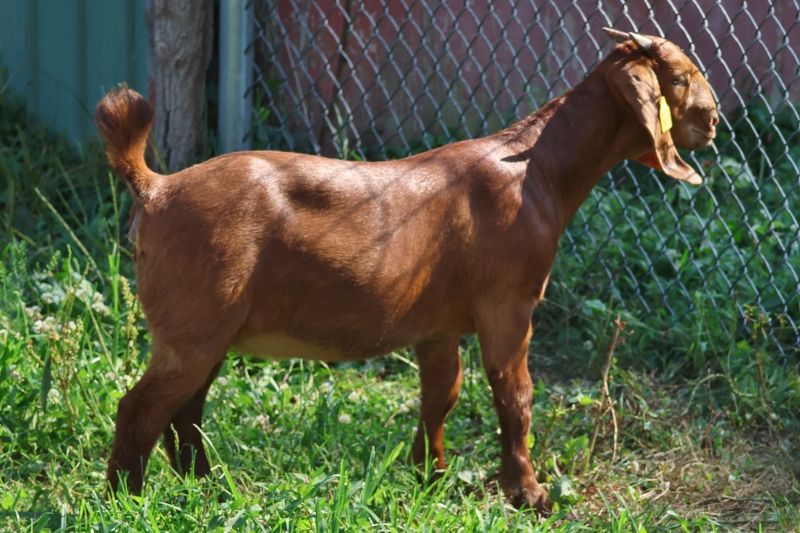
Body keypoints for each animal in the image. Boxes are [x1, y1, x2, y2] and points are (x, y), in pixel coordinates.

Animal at [95, 28, 717, 512]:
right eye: (680, 77)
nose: (712, 121)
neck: (536, 166)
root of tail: (156, 187)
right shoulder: (508, 305)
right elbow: (514, 395)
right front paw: (529, 494)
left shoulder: (437, 326)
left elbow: (440, 394)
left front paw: (429, 477)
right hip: (193, 323)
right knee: (141, 408)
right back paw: (128, 499)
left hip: (208, 329)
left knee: (186, 408)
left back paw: (209, 487)